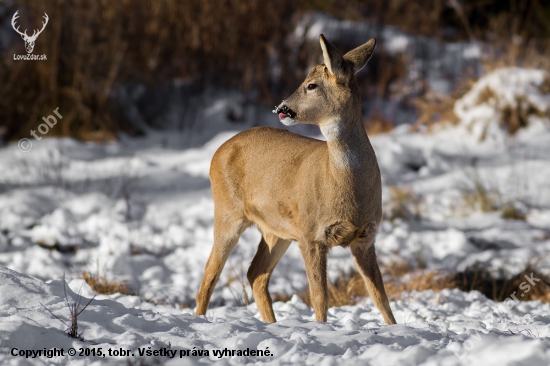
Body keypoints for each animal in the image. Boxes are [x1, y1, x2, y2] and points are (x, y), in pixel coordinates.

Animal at [196, 34, 398, 324]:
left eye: (311, 85)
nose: (282, 108)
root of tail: (218, 152)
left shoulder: (366, 237)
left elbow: (380, 296)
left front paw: (395, 327)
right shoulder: (311, 233)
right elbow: (319, 297)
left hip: (276, 229)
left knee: (255, 274)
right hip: (228, 211)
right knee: (210, 275)